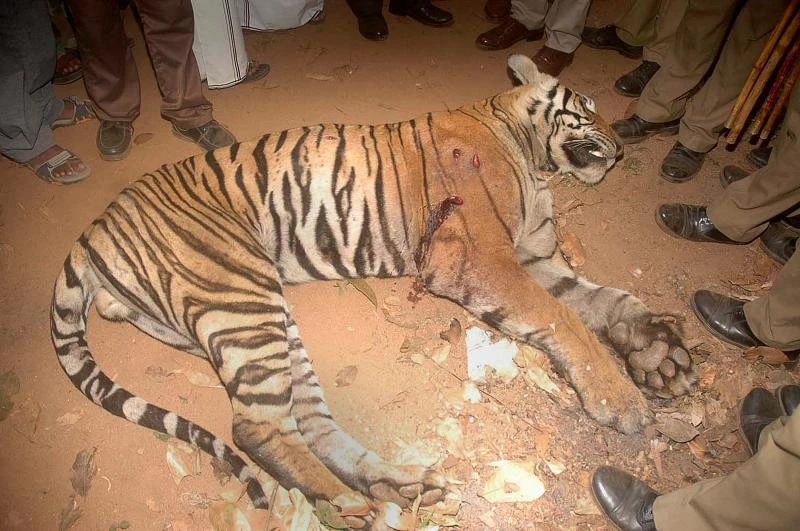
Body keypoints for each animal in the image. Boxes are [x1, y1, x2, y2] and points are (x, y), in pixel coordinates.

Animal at [50, 55, 695, 524]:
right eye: (587, 108)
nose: (624, 146)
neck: (529, 153)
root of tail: (93, 228)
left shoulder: (535, 258)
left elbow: (611, 302)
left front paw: (663, 360)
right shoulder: (482, 260)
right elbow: (567, 321)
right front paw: (622, 401)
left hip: (265, 316)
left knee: (305, 419)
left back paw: (399, 488)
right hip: (240, 298)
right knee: (255, 427)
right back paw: (350, 506)